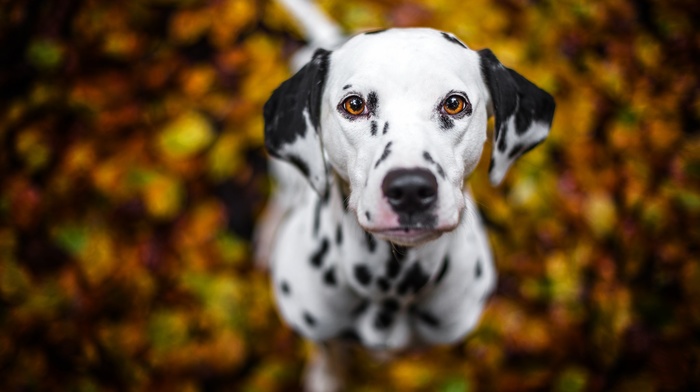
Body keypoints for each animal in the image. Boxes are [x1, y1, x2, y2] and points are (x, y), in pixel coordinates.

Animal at [254, 1, 556, 388]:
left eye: (454, 104)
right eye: (354, 105)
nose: (410, 189)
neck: (391, 289)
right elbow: (330, 353)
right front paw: (326, 377)